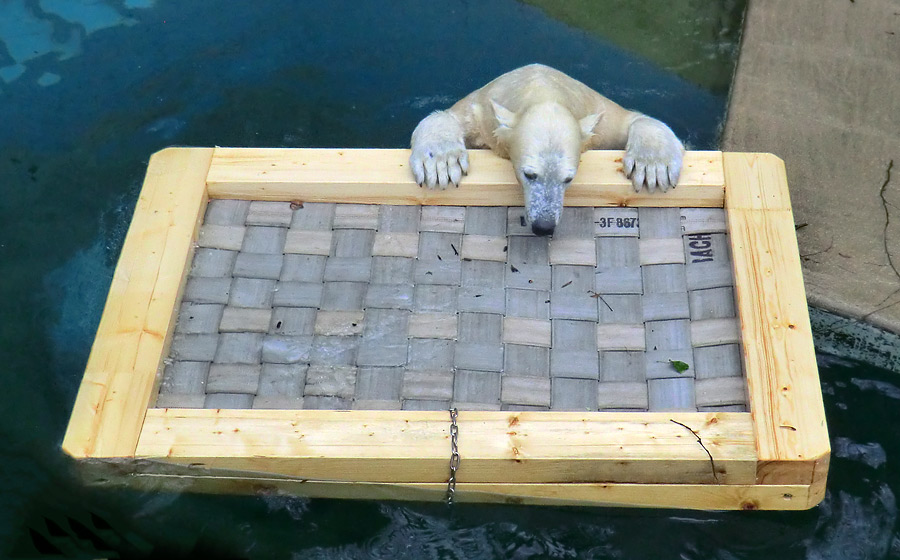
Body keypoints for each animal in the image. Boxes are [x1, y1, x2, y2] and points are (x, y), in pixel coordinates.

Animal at [412, 64, 684, 236]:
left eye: (568, 179)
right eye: (529, 174)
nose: (544, 227)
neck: (540, 89)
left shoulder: (602, 119)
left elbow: (635, 119)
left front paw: (653, 167)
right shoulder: (481, 115)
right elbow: (446, 116)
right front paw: (441, 164)